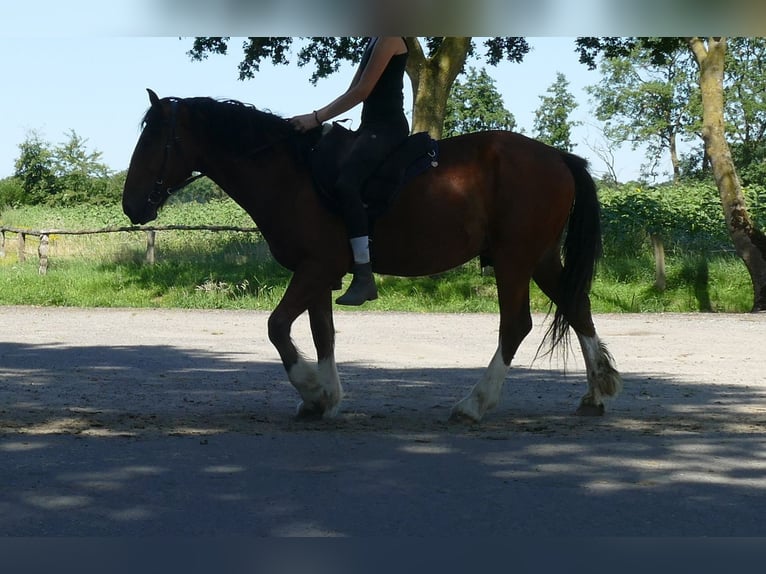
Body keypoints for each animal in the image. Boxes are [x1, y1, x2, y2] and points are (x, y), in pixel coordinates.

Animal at [122, 89, 622, 422]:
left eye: (154, 142)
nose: (131, 206)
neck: (291, 174)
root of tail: (557, 157)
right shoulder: (316, 273)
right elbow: (322, 333)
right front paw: (324, 397)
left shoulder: (315, 268)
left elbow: (277, 326)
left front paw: (311, 389)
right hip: (540, 259)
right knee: (577, 306)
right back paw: (596, 393)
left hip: (514, 260)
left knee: (515, 325)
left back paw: (474, 404)